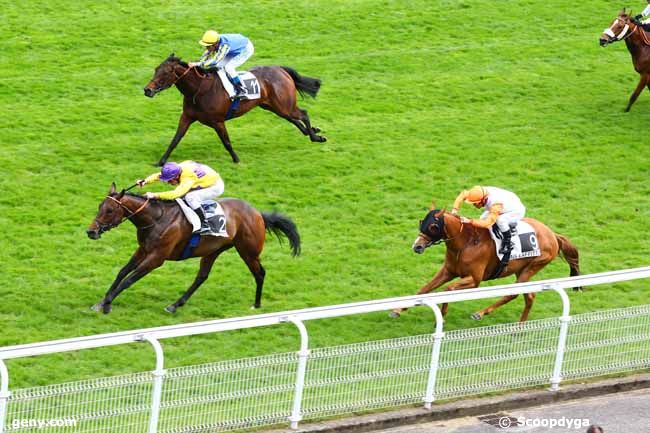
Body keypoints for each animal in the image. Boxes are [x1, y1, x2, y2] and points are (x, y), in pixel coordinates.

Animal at [85, 183, 300, 314]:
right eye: (99, 206)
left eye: (109, 210)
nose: (91, 231)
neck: (156, 218)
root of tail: (257, 214)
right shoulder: (143, 250)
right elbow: (122, 272)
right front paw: (101, 302)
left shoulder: (157, 258)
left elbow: (129, 279)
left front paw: (107, 304)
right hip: (214, 250)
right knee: (202, 276)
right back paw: (175, 305)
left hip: (248, 251)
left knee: (260, 273)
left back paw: (256, 304)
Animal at [142, 55, 324, 165]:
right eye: (156, 70)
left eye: (165, 73)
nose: (147, 90)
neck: (199, 89)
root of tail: (280, 69)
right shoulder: (187, 116)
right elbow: (175, 139)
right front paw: (161, 162)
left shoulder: (218, 121)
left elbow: (226, 142)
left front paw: (236, 159)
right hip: (274, 106)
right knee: (292, 118)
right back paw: (311, 132)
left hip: (283, 105)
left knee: (303, 114)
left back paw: (315, 137)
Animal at [388, 202, 580, 320]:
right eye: (422, 221)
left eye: (434, 226)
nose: (417, 246)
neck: (465, 243)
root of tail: (553, 234)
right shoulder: (448, 271)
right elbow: (424, 289)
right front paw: (398, 310)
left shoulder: (474, 280)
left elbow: (448, 289)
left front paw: (441, 316)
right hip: (522, 270)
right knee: (530, 296)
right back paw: (519, 328)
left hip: (533, 266)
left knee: (513, 294)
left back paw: (480, 313)